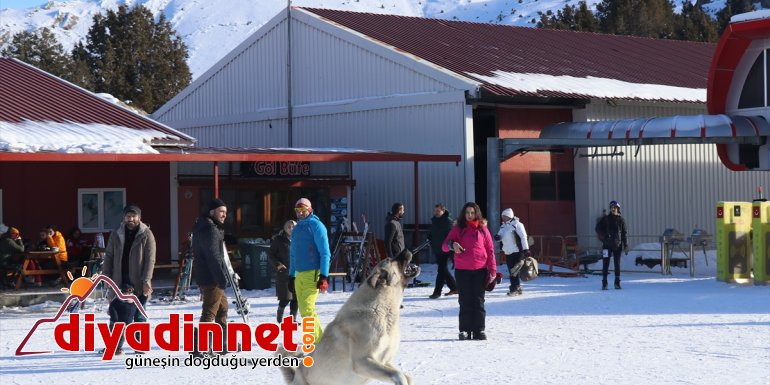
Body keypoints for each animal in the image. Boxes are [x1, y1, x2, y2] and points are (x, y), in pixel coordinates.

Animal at [280, 249, 416, 384]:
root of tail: (294, 377)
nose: (406, 250)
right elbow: (399, 375)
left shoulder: (384, 361)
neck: (382, 310)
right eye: (390, 259)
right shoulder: (362, 362)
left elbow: (407, 377)